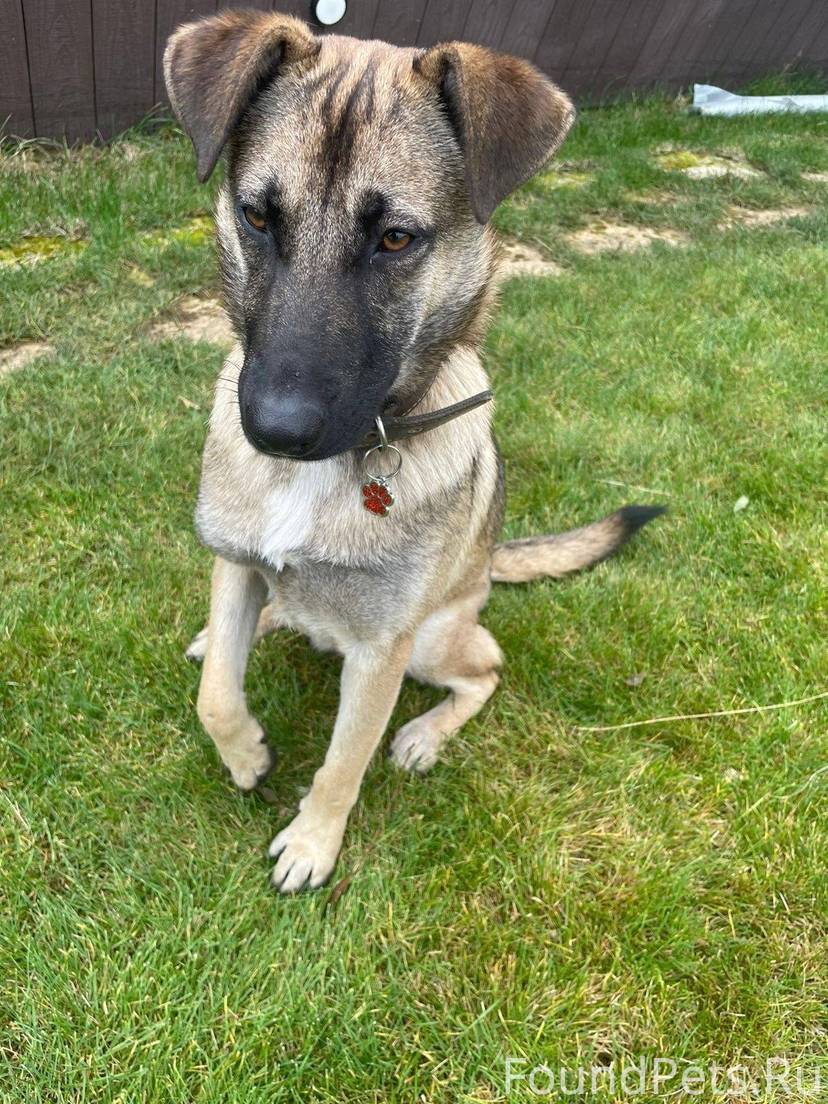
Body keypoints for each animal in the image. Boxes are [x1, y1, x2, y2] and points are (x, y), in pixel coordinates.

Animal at [164, 9, 664, 893]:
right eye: (257, 217)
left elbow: (343, 761)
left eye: (396, 239)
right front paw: (247, 751)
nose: (275, 430)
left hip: (435, 639)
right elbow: (218, 694)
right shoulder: (233, 562)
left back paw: (426, 733)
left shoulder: (382, 653)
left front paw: (312, 843)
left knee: (487, 668)